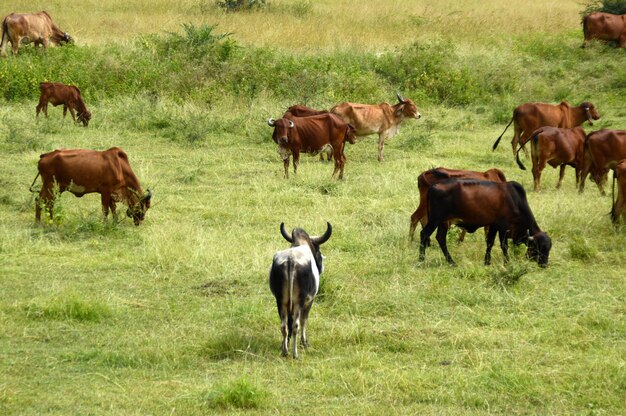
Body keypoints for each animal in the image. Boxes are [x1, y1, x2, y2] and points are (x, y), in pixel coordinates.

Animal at [266, 221, 332, 358]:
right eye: (318, 251)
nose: (321, 267)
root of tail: (291, 260)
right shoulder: (309, 300)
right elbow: (304, 320)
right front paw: (304, 343)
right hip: (298, 301)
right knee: (296, 324)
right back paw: (295, 353)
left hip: (281, 301)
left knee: (284, 325)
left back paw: (285, 350)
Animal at [420, 180, 552, 268]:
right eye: (540, 247)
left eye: (549, 247)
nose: (544, 264)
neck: (516, 200)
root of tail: (433, 186)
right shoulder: (503, 226)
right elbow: (504, 245)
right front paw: (507, 263)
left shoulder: (493, 225)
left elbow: (490, 243)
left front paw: (487, 262)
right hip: (435, 219)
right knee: (424, 234)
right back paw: (421, 260)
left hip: (443, 222)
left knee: (441, 238)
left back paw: (451, 262)